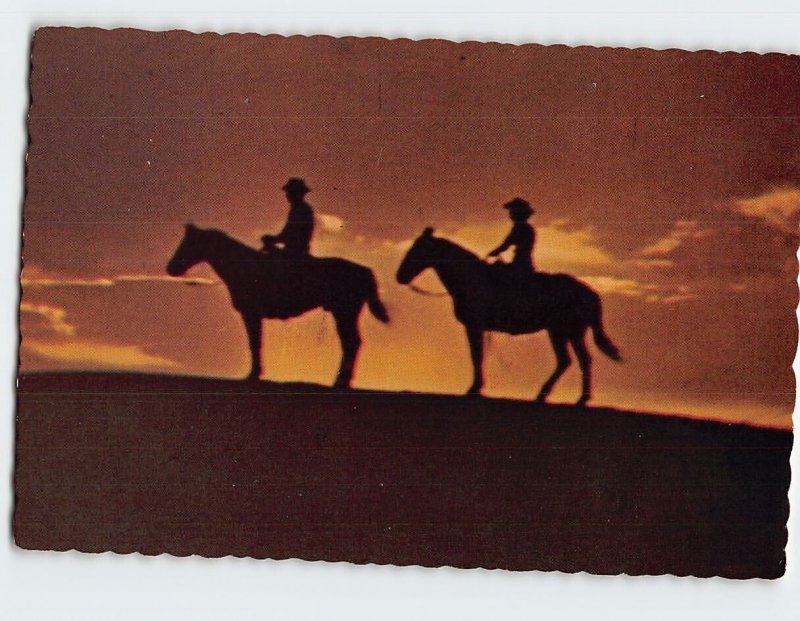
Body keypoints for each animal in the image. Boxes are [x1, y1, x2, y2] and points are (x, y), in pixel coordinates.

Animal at [169, 223, 390, 388]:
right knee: (352, 343)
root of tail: (364, 270)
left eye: (189, 243)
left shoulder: (251, 314)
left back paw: (340, 382)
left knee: (351, 342)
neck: (244, 267)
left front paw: (253, 374)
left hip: (344, 312)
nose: (171, 268)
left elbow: (255, 343)